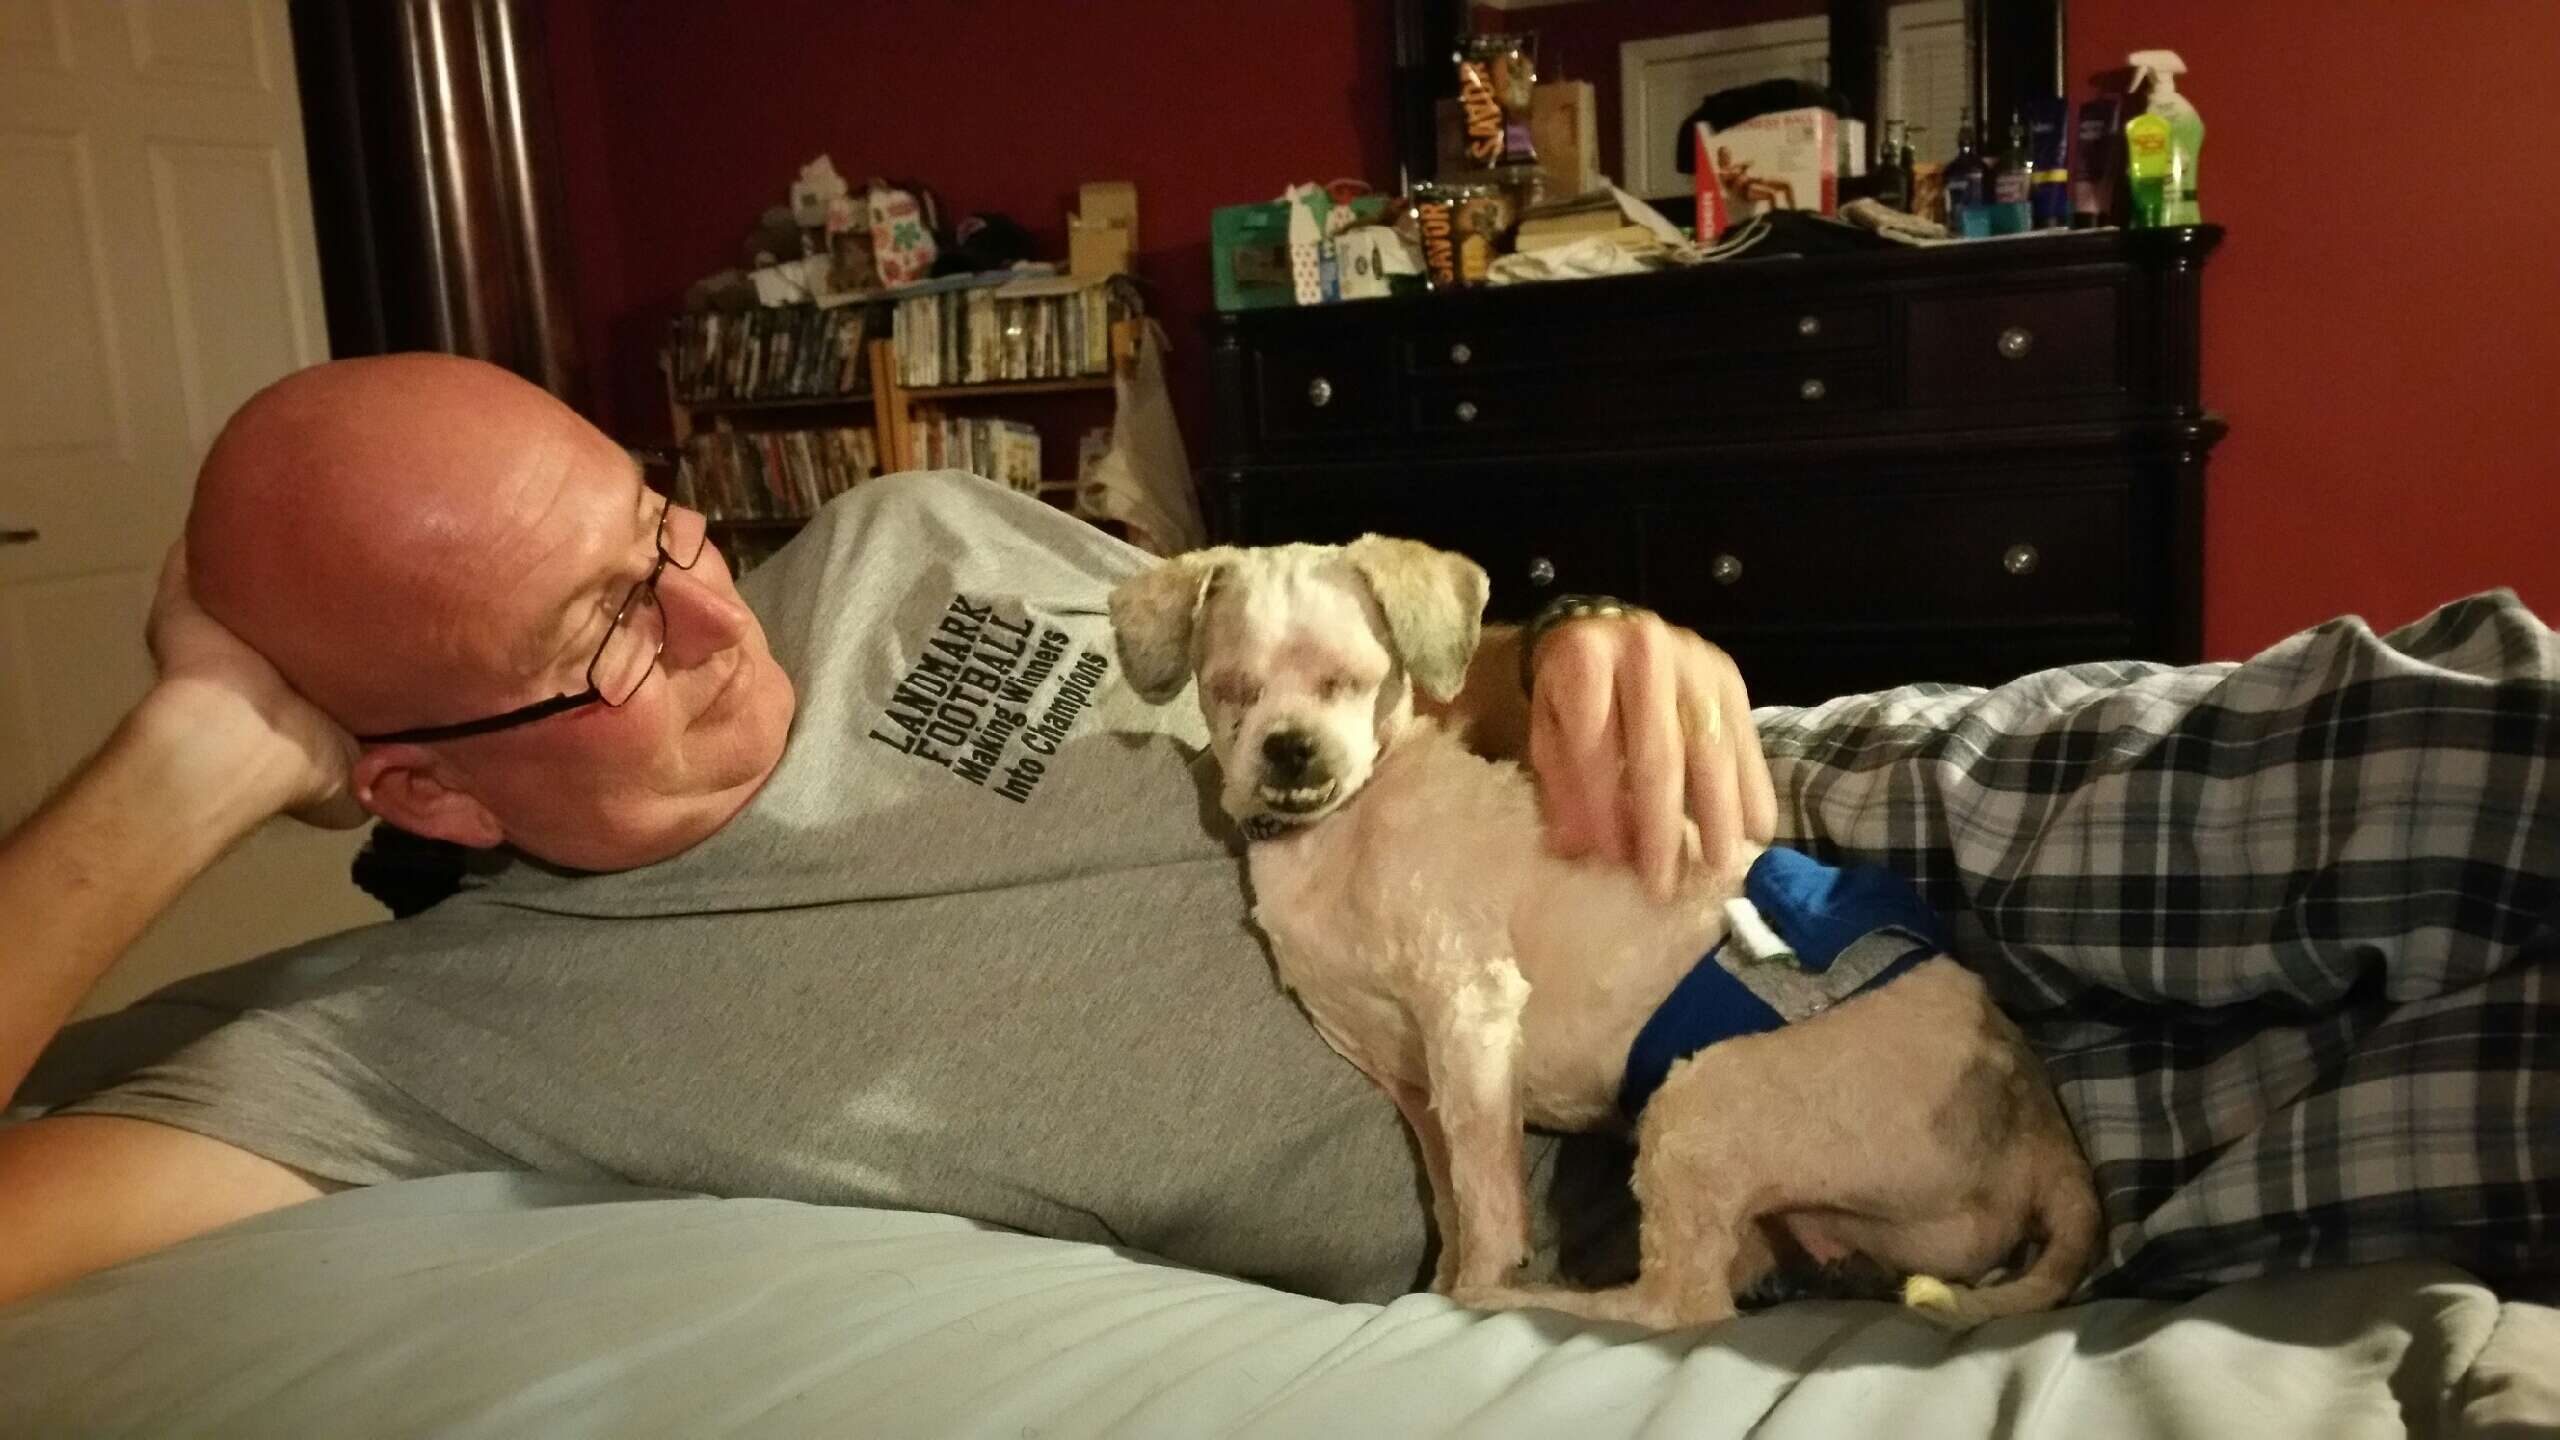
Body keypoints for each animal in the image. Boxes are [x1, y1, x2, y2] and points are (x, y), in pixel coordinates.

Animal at [1111, 535, 2088, 1322]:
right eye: (1229, 692)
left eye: (1353, 680)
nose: (1292, 751)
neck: (1339, 835)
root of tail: (2039, 1127)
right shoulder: (1411, 1081)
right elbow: (1451, 1195)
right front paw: (1445, 1277)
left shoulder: (1470, 1012)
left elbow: (1486, 1203)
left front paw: (1473, 1290)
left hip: (1699, 1102)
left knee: (1681, 1308)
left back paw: (1544, 1301)